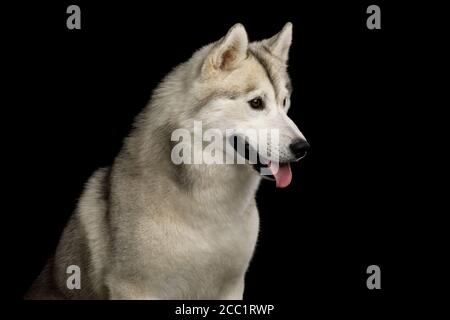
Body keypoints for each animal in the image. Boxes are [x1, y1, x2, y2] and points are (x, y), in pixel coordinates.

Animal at [26, 22, 310, 300]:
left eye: (285, 102)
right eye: (256, 103)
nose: (303, 147)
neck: (210, 206)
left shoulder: (232, 286)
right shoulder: (134, 288)